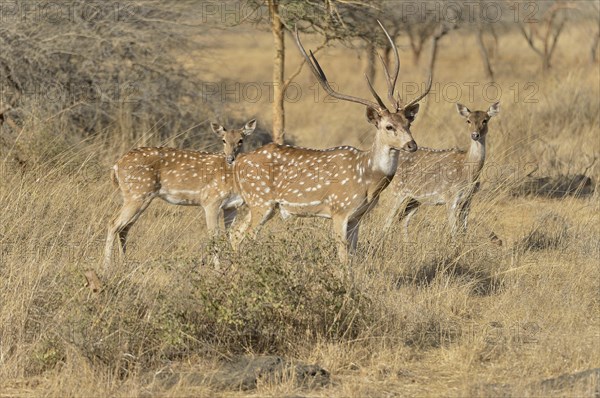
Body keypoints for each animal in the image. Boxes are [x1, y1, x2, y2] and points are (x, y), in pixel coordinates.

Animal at [105, 118, 255, 268]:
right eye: (223, 140)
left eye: (241, 140)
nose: (230, 158)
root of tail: (116, 166)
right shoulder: (211, 201)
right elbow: (214, 237)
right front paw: (218, 269)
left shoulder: (231, 206)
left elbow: (231, 235)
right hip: (137, 194)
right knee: (113, 223)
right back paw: (106, 266)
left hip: (138, 197)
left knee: (124, 228)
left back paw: (123, 263)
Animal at [229, 22, 432, 264]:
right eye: (388, 126)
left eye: (408, 123)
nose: (412, 145)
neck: (367, 178)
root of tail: (238, 163)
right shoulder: (340, 209)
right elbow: (343, 258)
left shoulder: (357, 217)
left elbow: (353, 256)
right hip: (261, 201)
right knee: (244, 236)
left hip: (255, 204)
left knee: (234, 234)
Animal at [384, 102, 502, 239]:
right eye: (468, 120)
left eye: (485, 120)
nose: (474, 135)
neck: (468, 170)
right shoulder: (450, 196)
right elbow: (454, 231)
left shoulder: (468, 199)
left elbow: (464, 230)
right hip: (396, 190)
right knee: (387, 220)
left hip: (415, 198)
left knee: (403, 220)